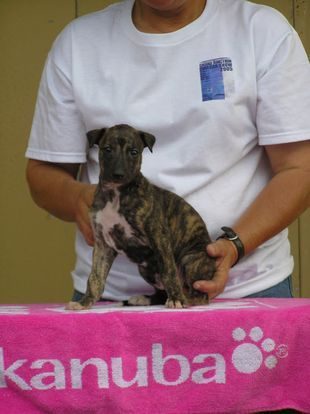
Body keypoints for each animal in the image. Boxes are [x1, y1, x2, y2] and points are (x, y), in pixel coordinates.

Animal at [66, 124, 214, 308]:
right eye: (107, 149)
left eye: (134, 152)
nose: (118, 174)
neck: (116, 195)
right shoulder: (102, 244)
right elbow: (95, 276)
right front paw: (85, 302)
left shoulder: (159, 237)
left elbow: (169, 271)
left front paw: (177, 299)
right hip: (145, 269)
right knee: (161, 291)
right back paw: (144, 299)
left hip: (190, 259)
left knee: (200, 295)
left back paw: (184, 298)